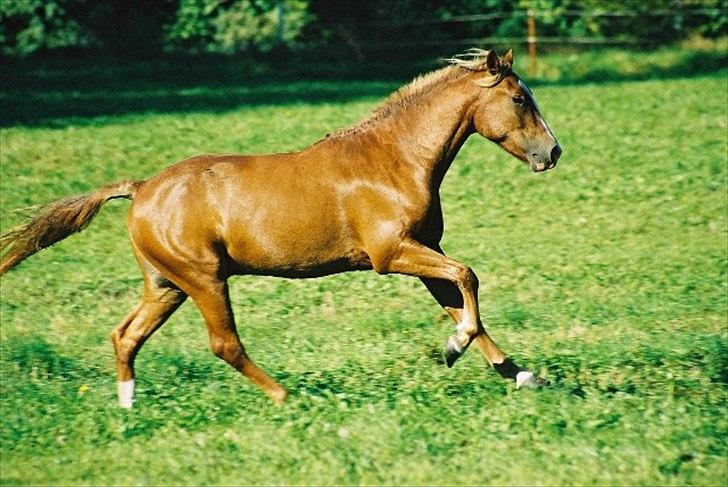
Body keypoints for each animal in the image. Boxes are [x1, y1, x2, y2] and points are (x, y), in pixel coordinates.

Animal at [0, 49, 561, 408]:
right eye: (519, 99)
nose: (552, 153)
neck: (394, 160)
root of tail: (139, 190)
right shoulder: (392, 253)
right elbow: (467, 279)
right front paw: (452, 350)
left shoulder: (423, 250)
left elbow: (459, 300)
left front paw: (521, 375)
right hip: (204, 279)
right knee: (223, 344)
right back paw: (284, 395)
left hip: (167, 285)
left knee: (125, 335)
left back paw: (127, 407)